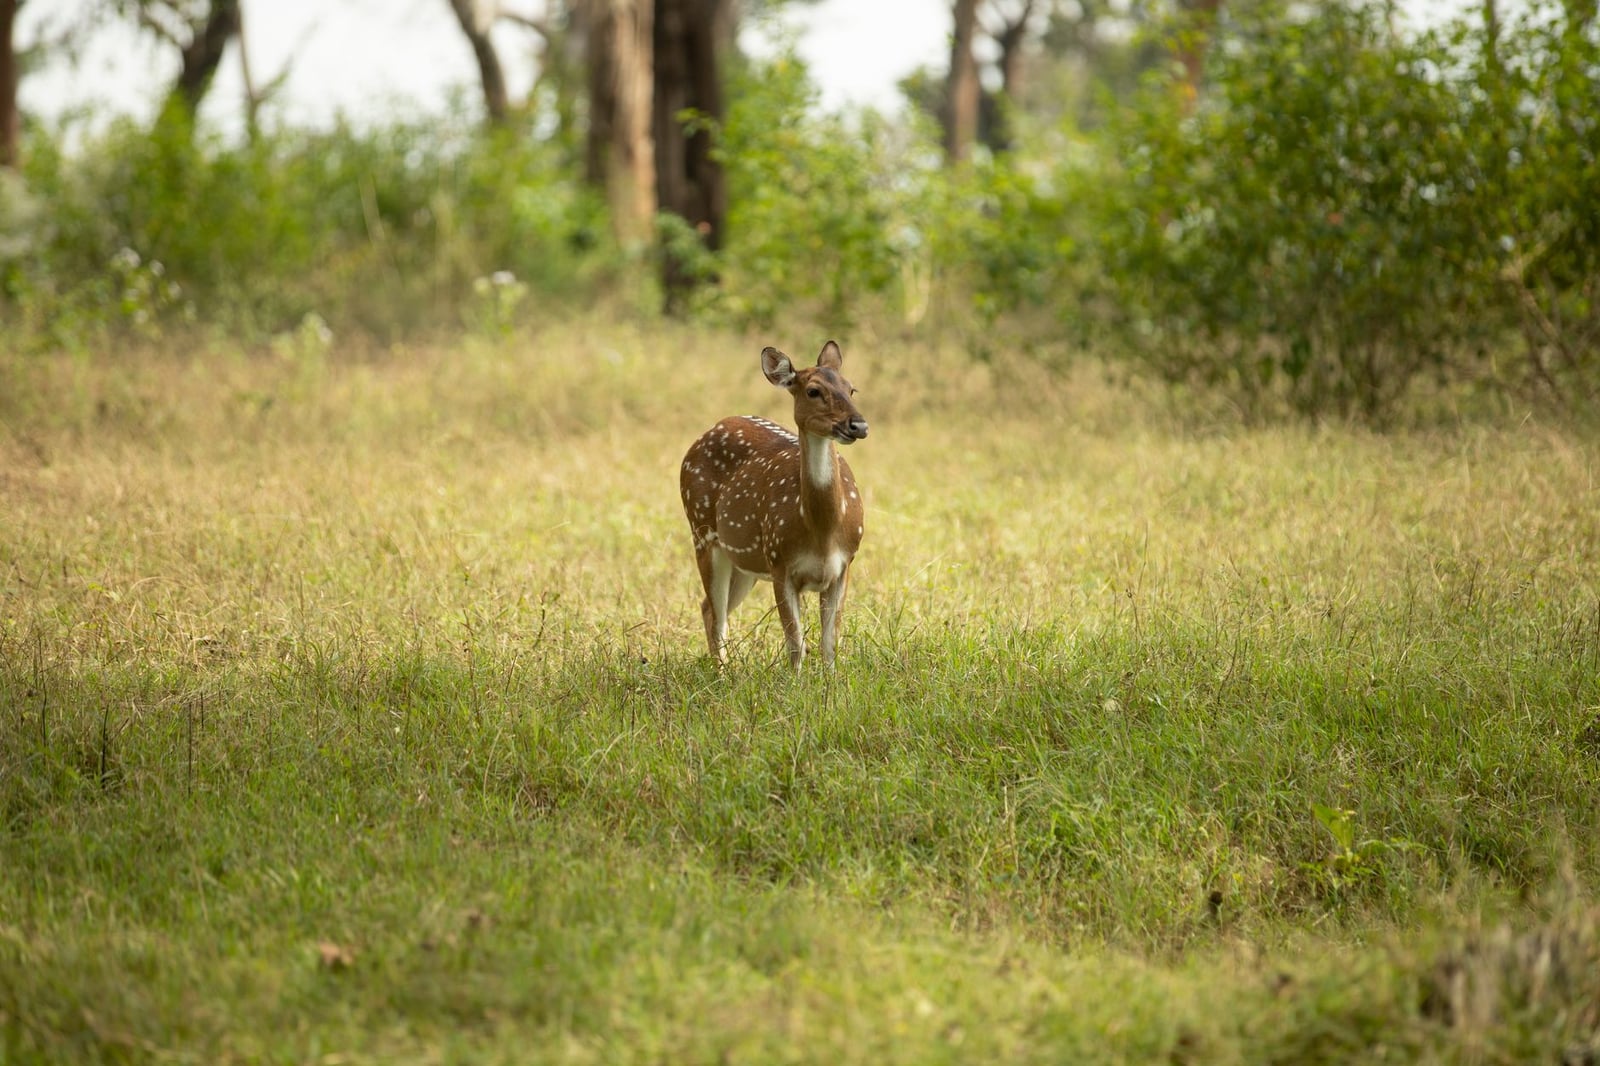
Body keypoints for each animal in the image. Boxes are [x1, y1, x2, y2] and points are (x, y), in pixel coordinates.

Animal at [680, 341, 869, 670]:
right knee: (715, 612)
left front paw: (833, 681)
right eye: (813, 391)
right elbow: (795, 644)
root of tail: (713, 427)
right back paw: (722, 673)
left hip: (745, 562)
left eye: (851, 388)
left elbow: (829, 644)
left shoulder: (844, 565)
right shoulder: (780, 562)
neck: (822, 531)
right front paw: (795, 681)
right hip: (702, 533)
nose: (858, 425)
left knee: (710, 608)